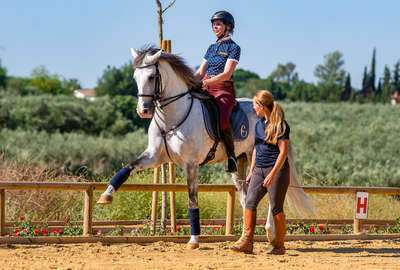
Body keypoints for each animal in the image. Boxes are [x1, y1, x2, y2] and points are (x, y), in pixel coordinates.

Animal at [97, 46, 312, 247]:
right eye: (135, 77)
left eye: (151, 76)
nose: (143, 111)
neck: (170, 117)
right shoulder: (154, 156)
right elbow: (128, 167)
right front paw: (106, 195)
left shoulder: (190, 164)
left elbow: (192, 199)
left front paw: (194, 239)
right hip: (239, 162)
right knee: (246, 198)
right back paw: (244, 238)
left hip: (256, 158)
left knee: (265, 189)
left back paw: (269, 231)